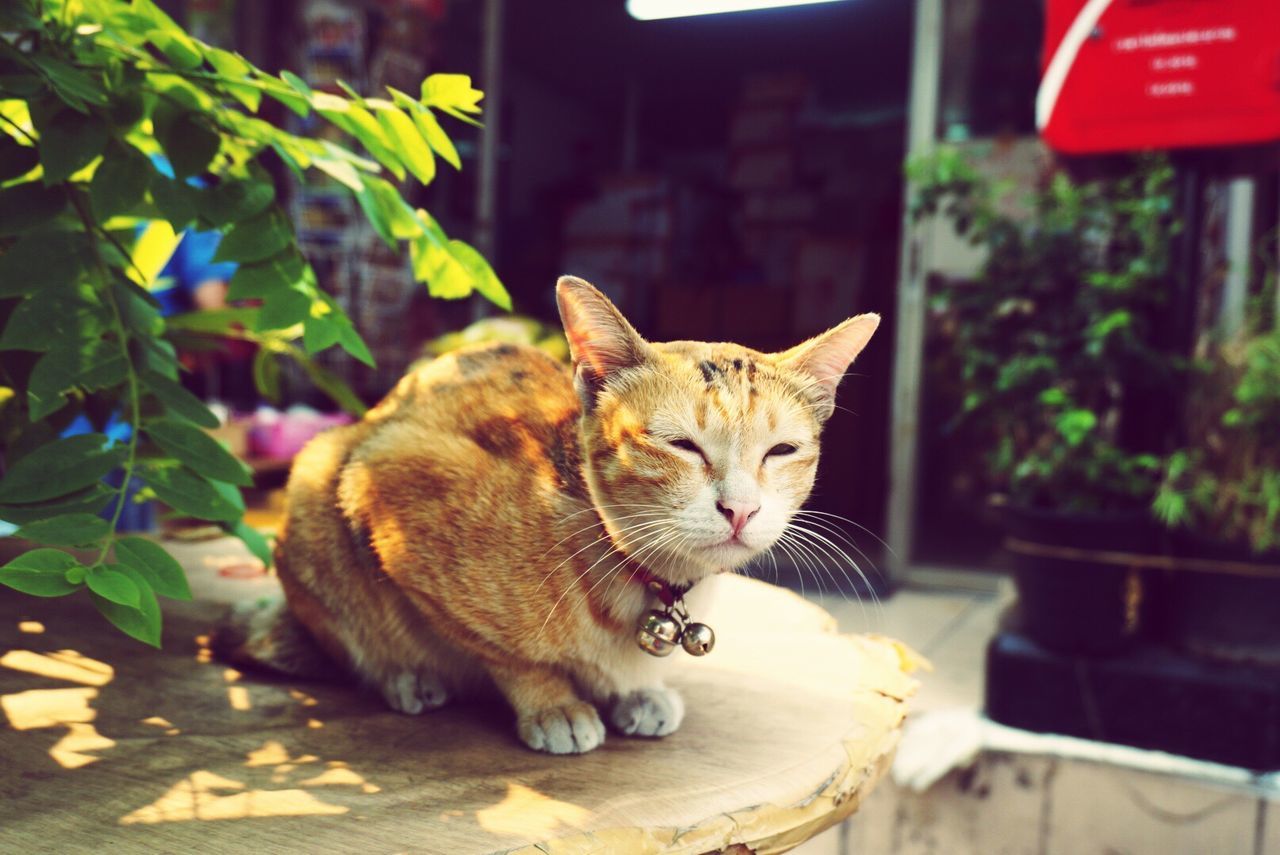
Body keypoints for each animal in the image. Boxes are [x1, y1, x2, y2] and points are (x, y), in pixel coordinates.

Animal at [217, 277, 880, 752]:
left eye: (781, 451)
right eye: (681, 445)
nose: (740, 508)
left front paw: (640, 691)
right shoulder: (391, 483)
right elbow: (505, 652)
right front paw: (553, 703)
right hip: (323, 476)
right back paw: (405, 676)